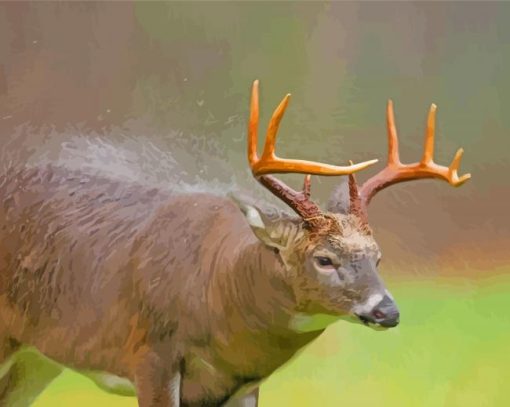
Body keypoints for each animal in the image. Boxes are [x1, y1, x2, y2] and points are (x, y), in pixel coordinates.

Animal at [0, 80, 470, 407]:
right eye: (324, 259)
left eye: (378, 256)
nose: (387, 311)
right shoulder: (150, 356)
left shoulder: (242, 385)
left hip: (40, 357)